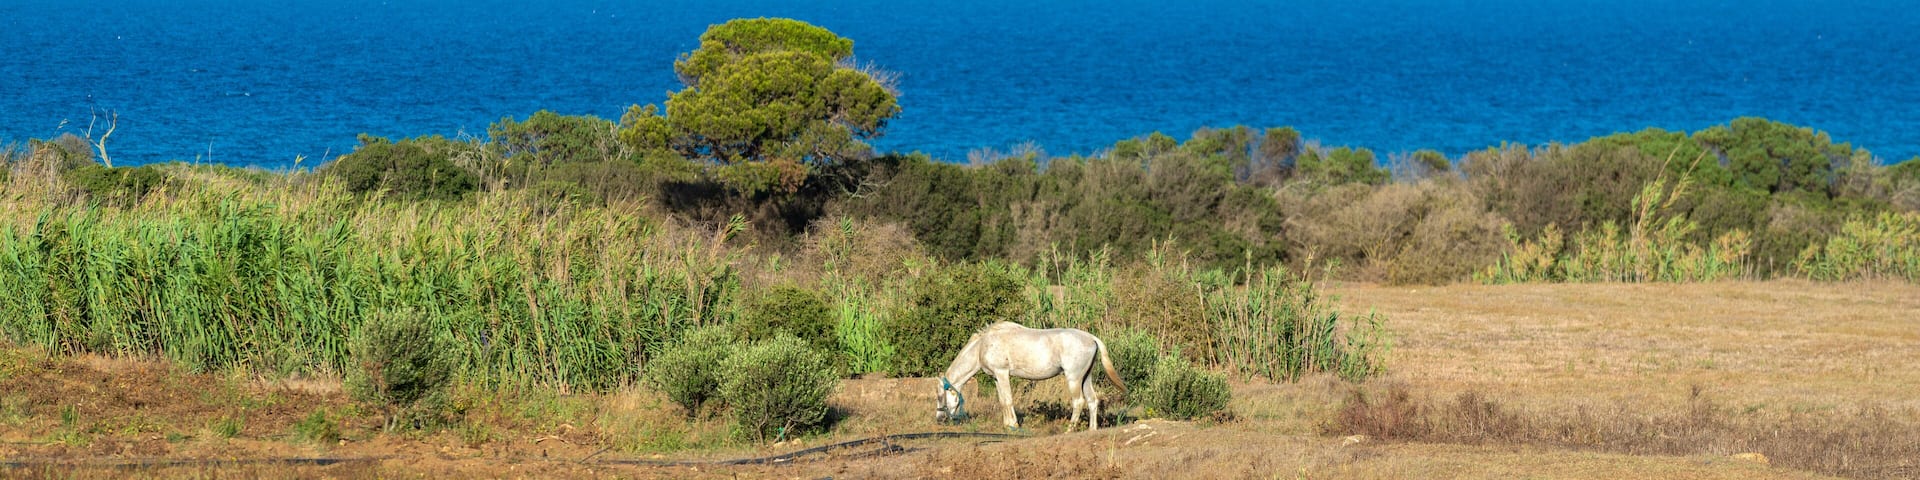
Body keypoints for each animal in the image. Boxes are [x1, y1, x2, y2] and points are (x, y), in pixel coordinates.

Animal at [935, 322, 1126, 431]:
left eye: (939, 396)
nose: (939, 419)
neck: (982, 346)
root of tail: (1091, 338)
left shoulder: (1002, 373)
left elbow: (1008, 400)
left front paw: (1013, 425)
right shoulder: (996, 377)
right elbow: (1002, 401)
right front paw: (1007, 424)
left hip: (1073, 378)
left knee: (1078, 402)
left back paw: (1070, 429)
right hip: (1085, 377)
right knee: (1093, 400)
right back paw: (1092, 429)